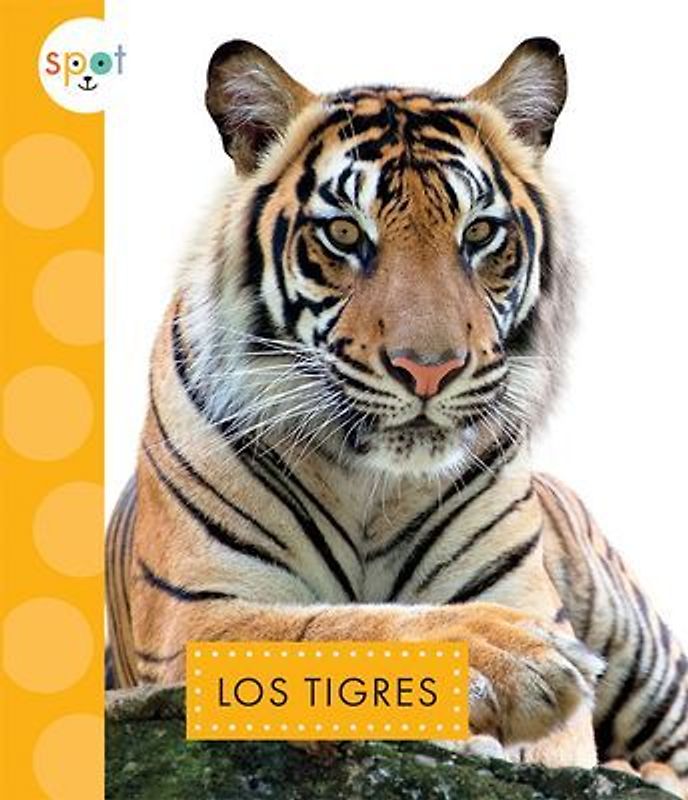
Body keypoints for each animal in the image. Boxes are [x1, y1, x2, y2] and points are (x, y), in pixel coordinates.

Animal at [106, 37, 688, 796]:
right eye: (344, 233)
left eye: (480, 233)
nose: (429, 368)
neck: (371, 483)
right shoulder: (197, 614)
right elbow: (336, 629)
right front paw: (508, 659)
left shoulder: (524, 592)